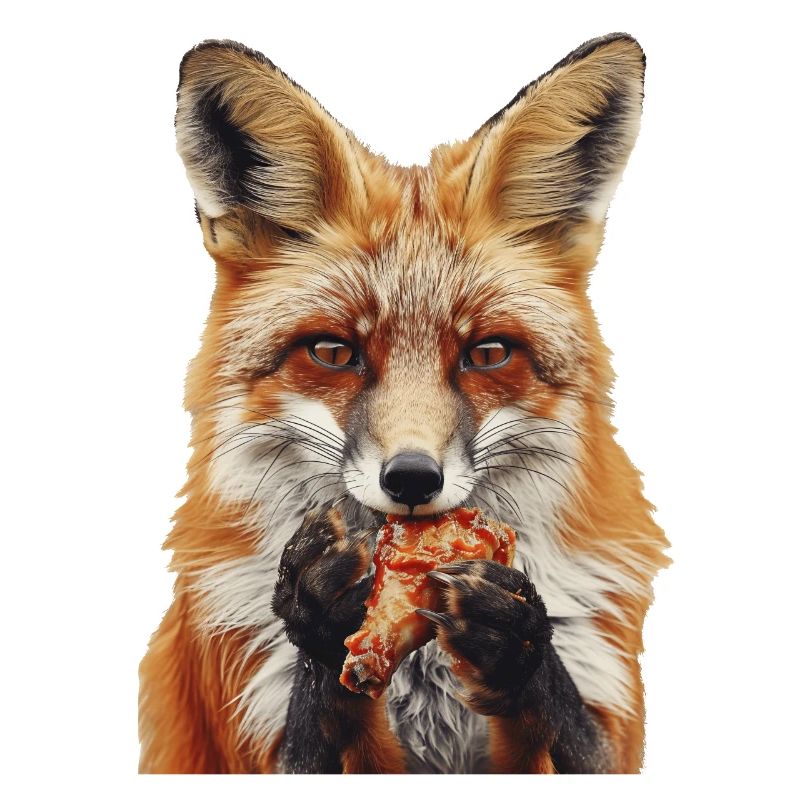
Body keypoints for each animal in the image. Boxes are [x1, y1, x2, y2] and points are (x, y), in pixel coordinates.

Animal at [139, 32, 669, 773]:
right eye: (333, 353)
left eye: (488, 353)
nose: (413, 479)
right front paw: (318, 612)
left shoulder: (606, 734)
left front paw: (519, 645)